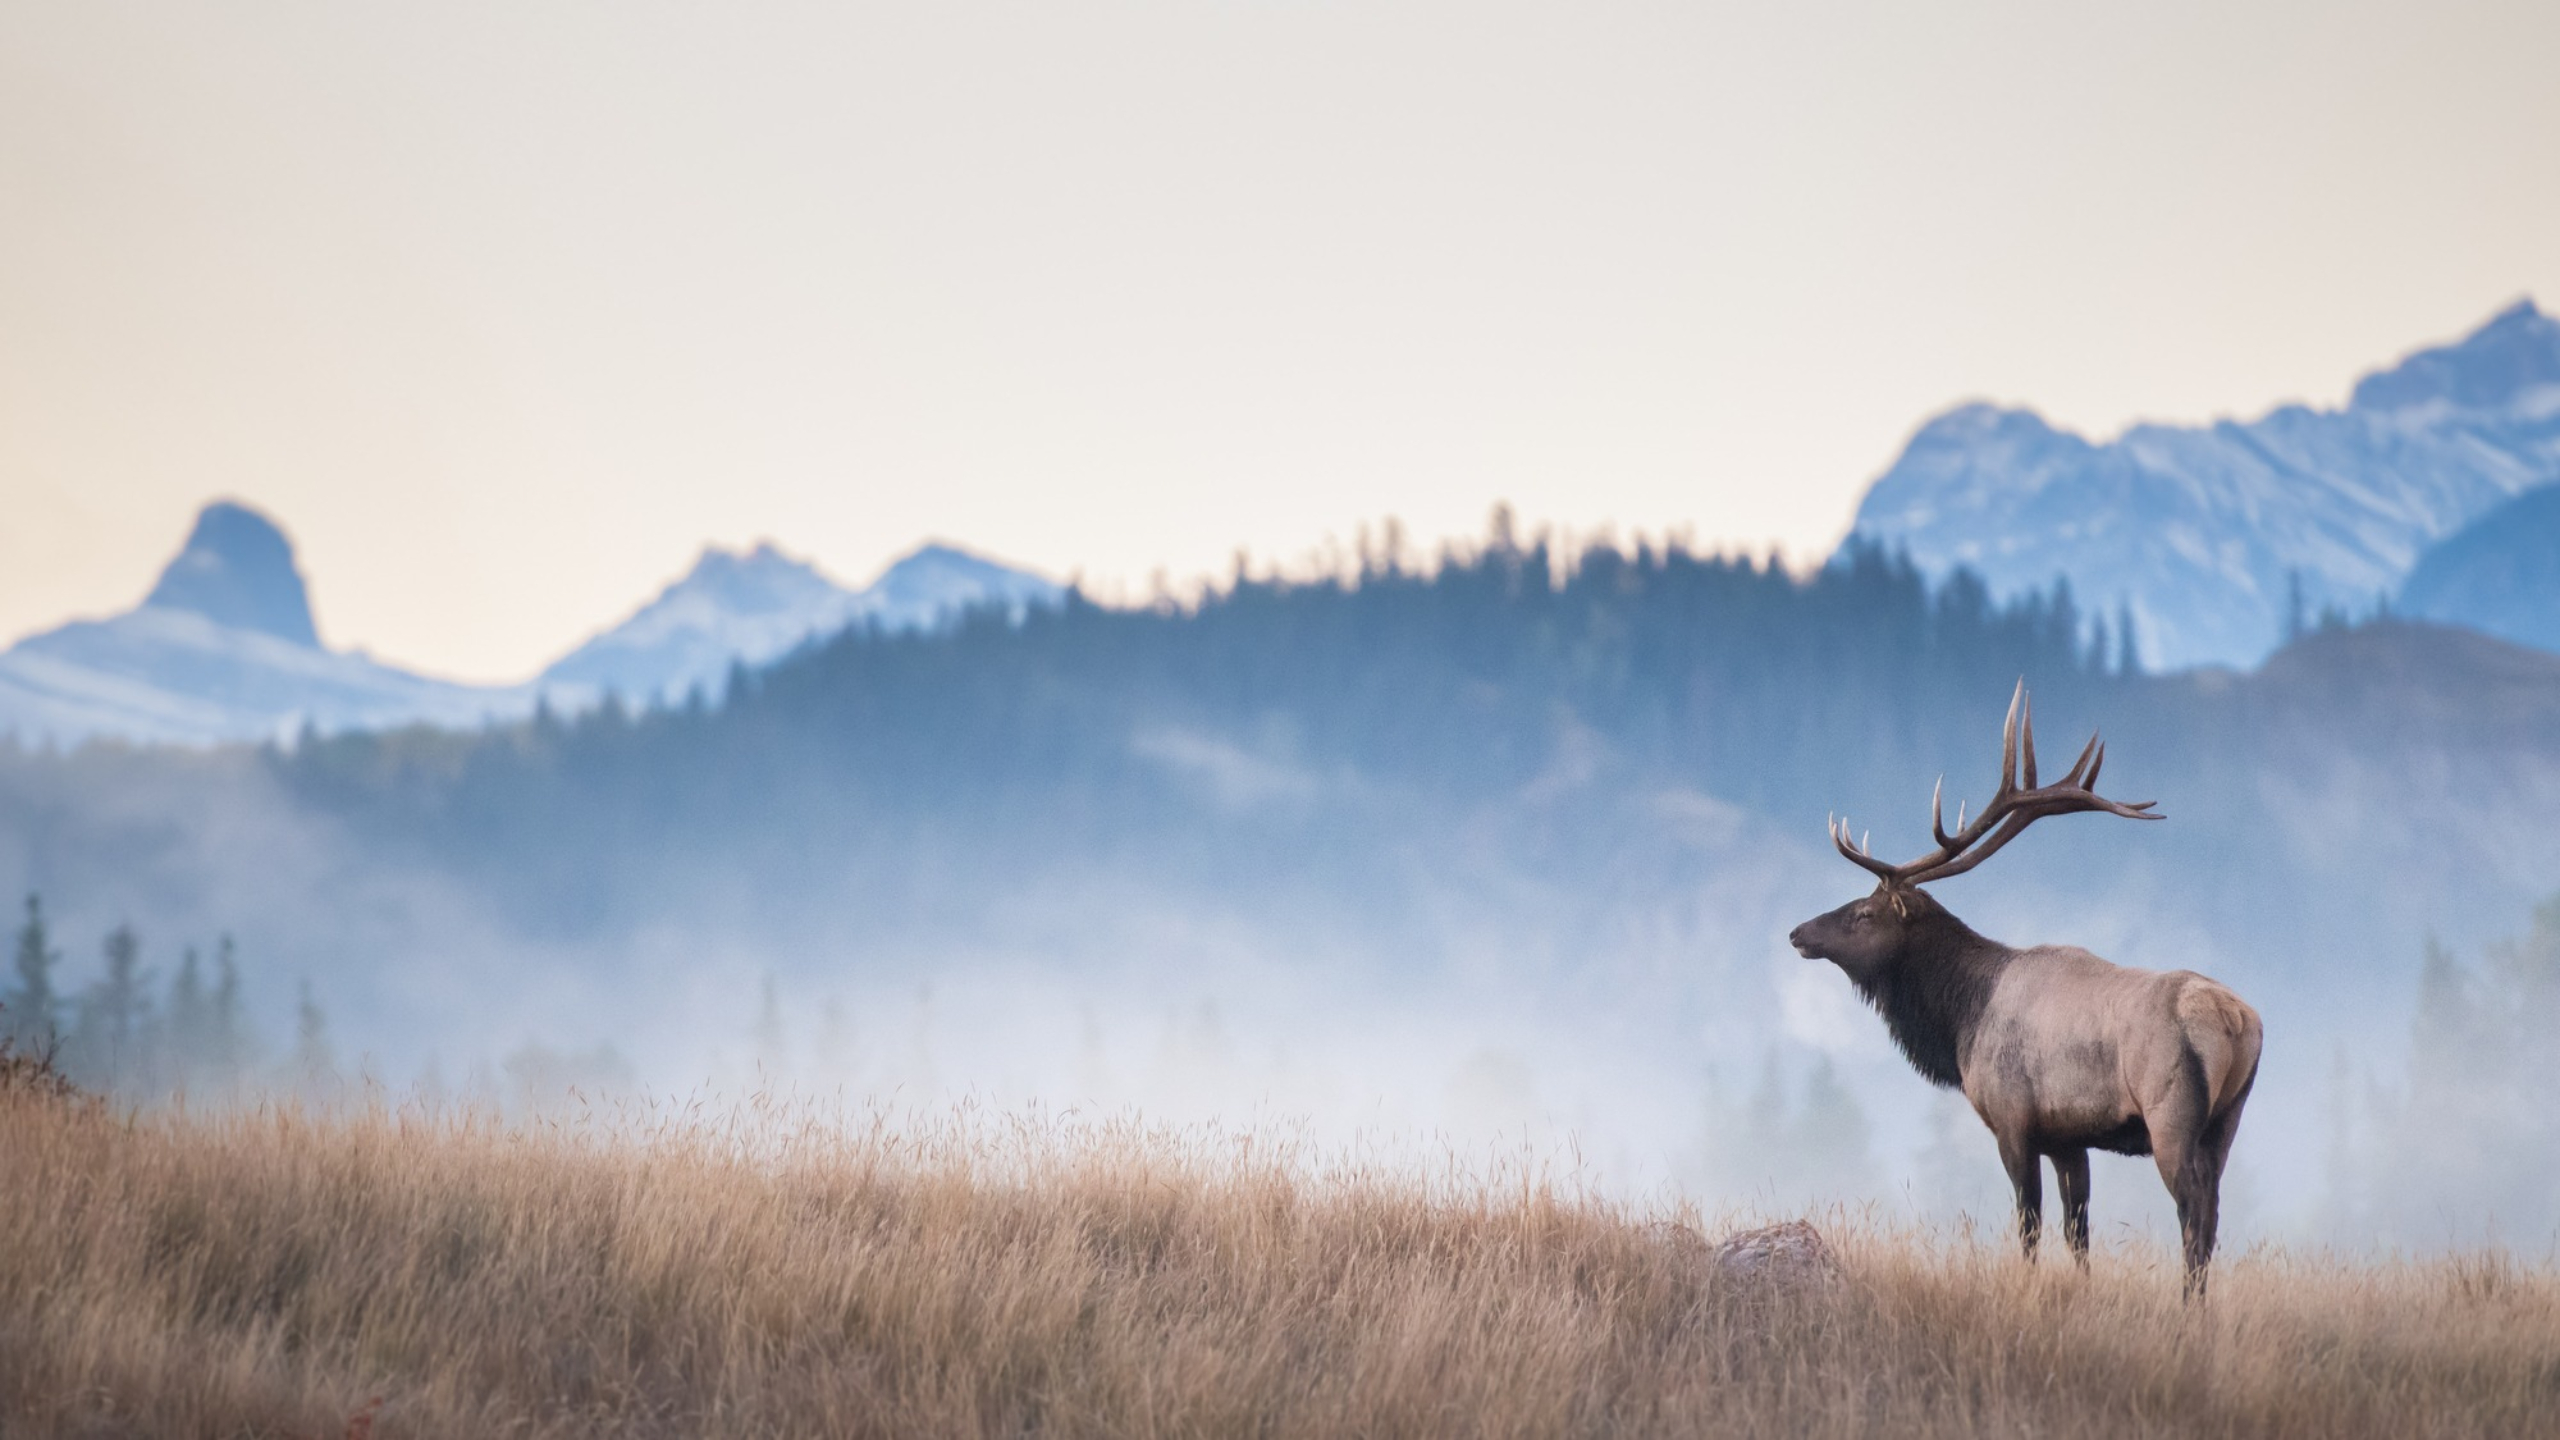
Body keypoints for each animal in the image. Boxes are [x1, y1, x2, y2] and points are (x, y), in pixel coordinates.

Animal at [1781, 681, 2263, 1291]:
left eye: (1865, 913)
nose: (1798, 932)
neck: (1961, 1022)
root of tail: (2238, 1020)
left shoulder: (2012, 1120)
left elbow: (2028, 1224)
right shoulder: (2068, 1137)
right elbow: (2077, 1232)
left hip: (2171, 1117)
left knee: (2193, 1215)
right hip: (2228, 1120)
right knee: (2214, 1212)